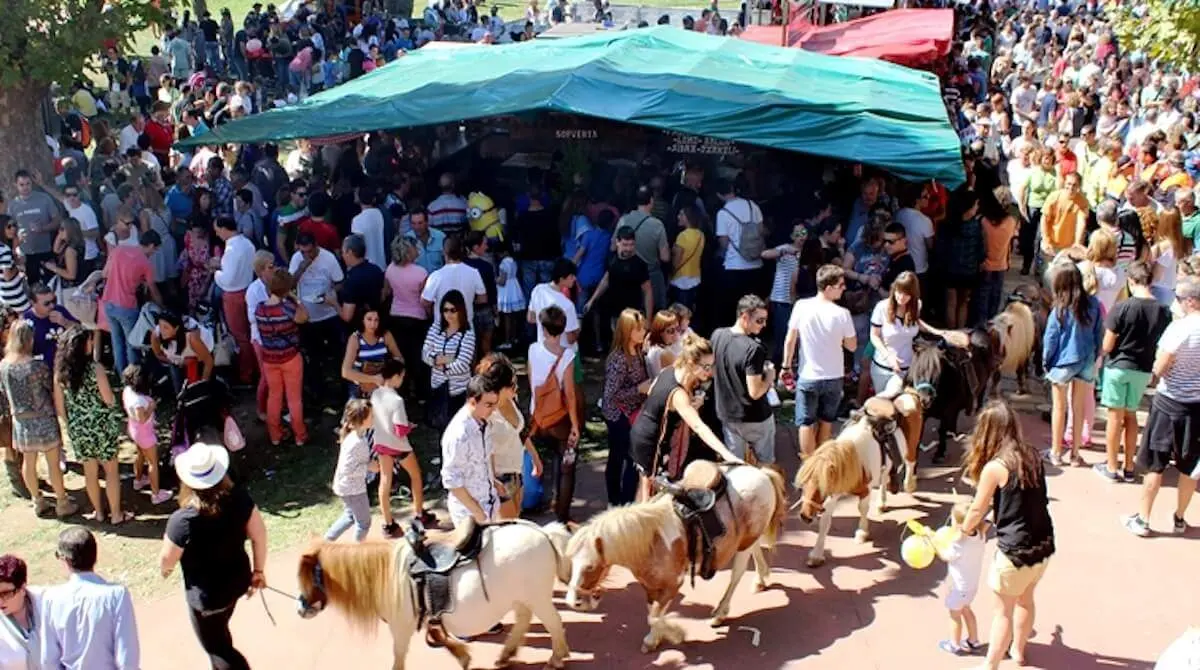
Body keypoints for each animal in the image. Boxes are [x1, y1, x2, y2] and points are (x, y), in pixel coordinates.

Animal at [292, 525, 568, 670]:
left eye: (307, 577)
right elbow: (437, 635)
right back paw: (506, 655)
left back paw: (556, 658)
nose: (301, 609)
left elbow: (399, 655)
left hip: (537, 597)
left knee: (553, 623)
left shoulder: (401, 626)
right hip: (522, 598)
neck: (387, 572)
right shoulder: (427, 616)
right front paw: (463, 656)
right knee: (523, 619)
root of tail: (543, 532)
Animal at [561, 465, 787, 653]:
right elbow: (652, 613)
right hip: (747, 539)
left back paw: (720, 613)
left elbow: (654, 616)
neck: (652, 539)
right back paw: (760, 580)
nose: (573, 602)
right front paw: (656, 638)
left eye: (590, 567)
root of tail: (760, 472)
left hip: (744, 545)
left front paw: (673, 635)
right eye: (570, 562)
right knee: (756, 549)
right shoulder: (649, 584)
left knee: (736, 575)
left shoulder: (673, 584)